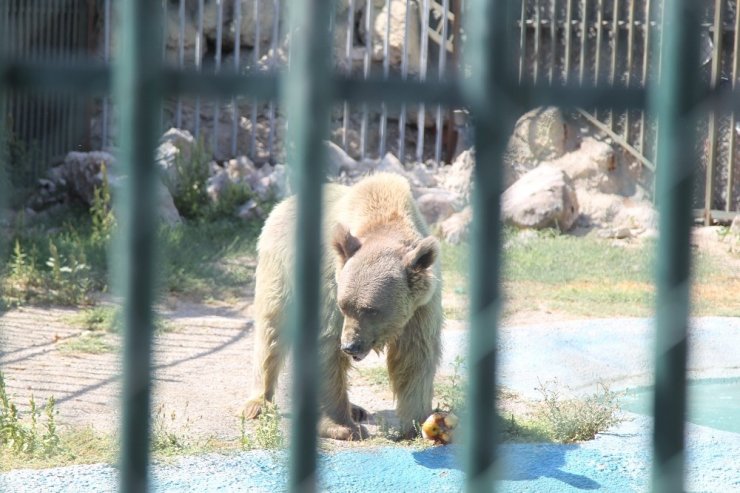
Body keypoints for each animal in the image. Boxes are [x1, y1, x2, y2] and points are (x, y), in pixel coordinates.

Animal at [243, 172, 442, 438]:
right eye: (344, 306)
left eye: (372, 309)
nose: (350, 346)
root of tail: (283, 203)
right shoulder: (330, 282)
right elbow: (326, 346)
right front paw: (341, 427)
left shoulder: (421, 306)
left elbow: (414, 354)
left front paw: (416, 423)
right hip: (280, 266)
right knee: (272, 329)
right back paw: (257, 402)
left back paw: (357, 409)